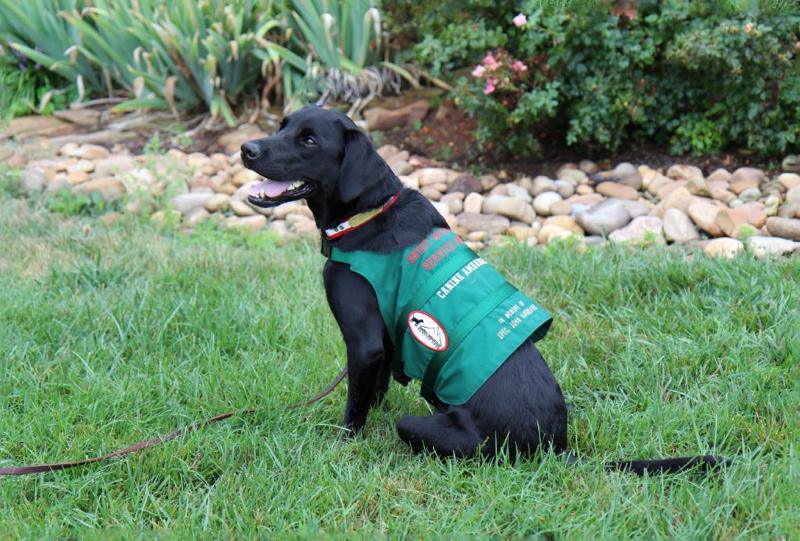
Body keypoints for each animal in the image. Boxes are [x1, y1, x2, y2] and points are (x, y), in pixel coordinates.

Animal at [241, 105, 726, 474]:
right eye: (282, 125)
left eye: (309, 141)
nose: (247, 148)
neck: (367, 214)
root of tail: (554, 447)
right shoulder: (383, 338)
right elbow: (374, 390)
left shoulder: (364, 342)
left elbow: (356, 405)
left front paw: (345, 443)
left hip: (423, 425)